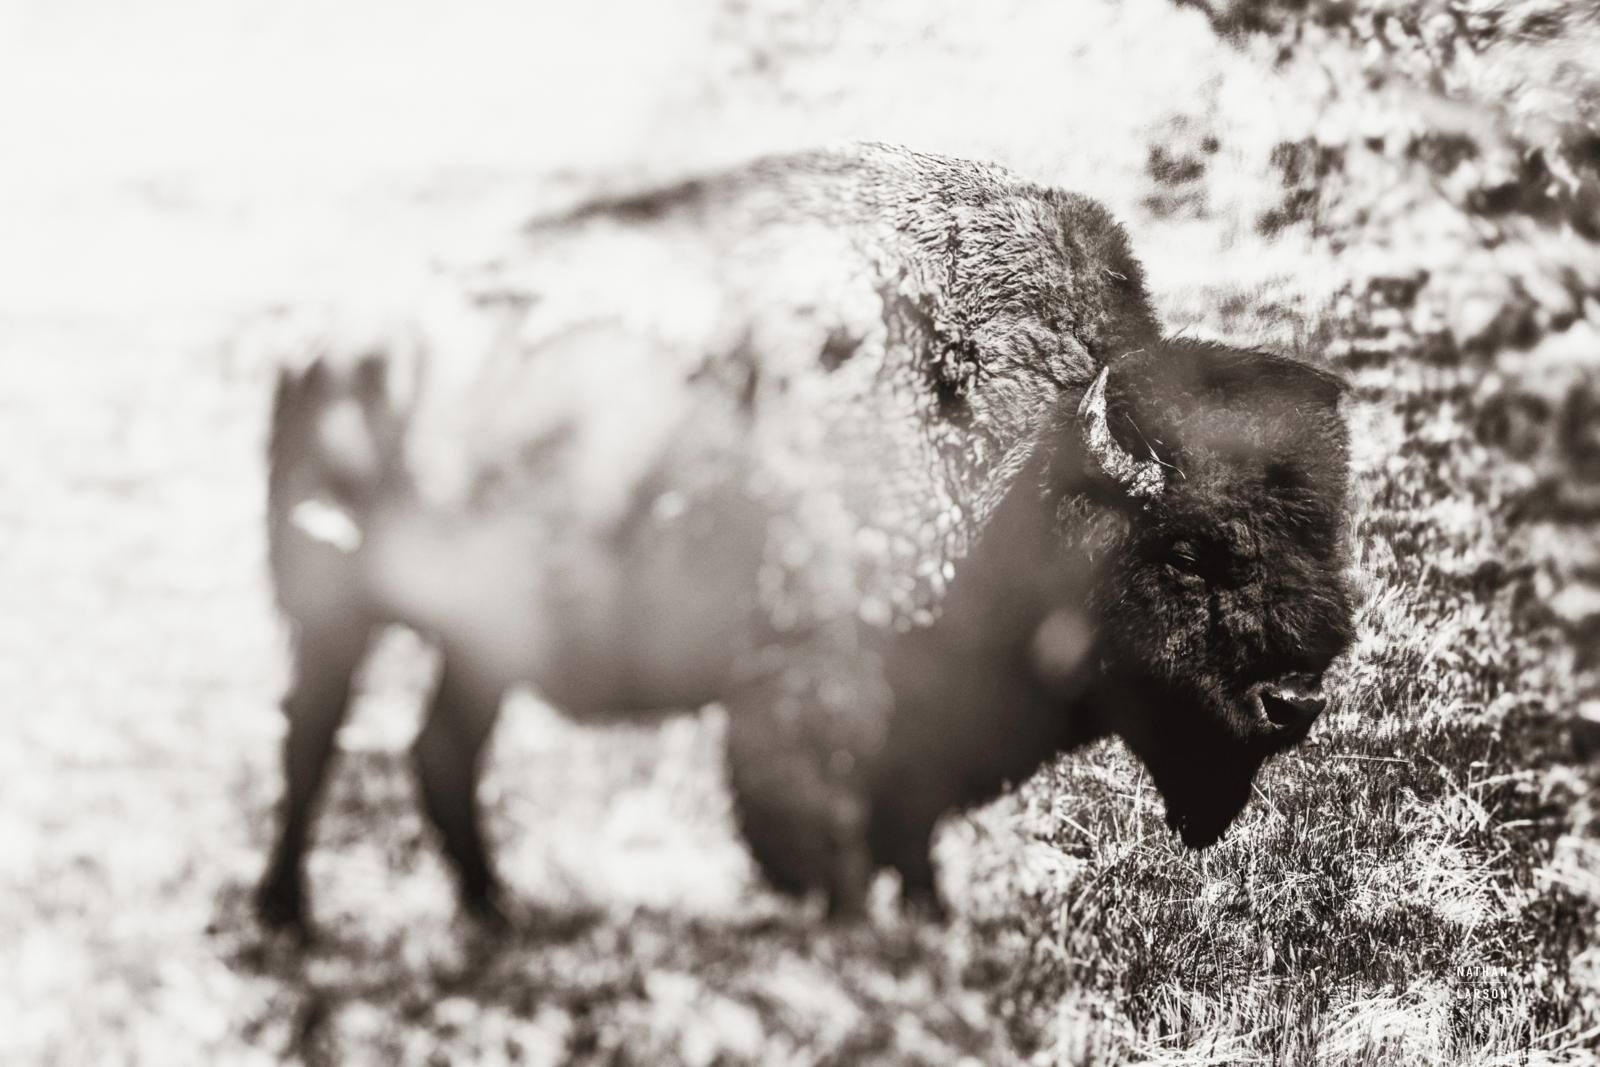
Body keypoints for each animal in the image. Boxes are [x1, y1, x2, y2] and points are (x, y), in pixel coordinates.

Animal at [253, 143, 1353, 934]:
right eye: (1188, 549)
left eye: (1327, 540)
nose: (1294, 698)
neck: (1025, 460)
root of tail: (324, 349)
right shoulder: (816, 681)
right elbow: (830, 823)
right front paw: (858, 930)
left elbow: (910, 822)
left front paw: (931, 922)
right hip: (333, 608)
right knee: (312, 738)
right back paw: (291, 915)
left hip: (480, 639)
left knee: (440, 751)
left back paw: (495, 917)